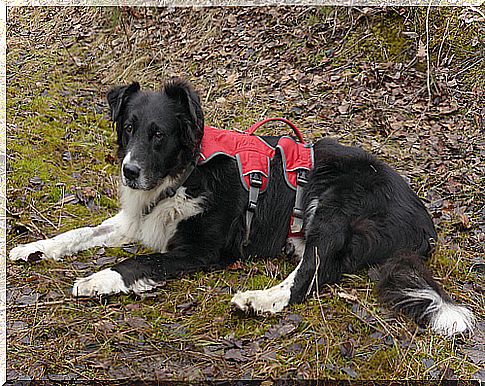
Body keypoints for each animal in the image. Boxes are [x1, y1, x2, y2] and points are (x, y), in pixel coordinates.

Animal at [8, 79, 472, 338]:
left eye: (159, 135)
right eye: (129, 128)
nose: (129, 171)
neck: (187, 171)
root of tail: (424, 222)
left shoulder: (200, 249)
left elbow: (137, 262)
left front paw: (98, 279)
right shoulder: (137, 218)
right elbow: (81, 233)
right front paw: (34, 248)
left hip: (335, 202)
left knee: (311, 274)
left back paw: (259, 300)